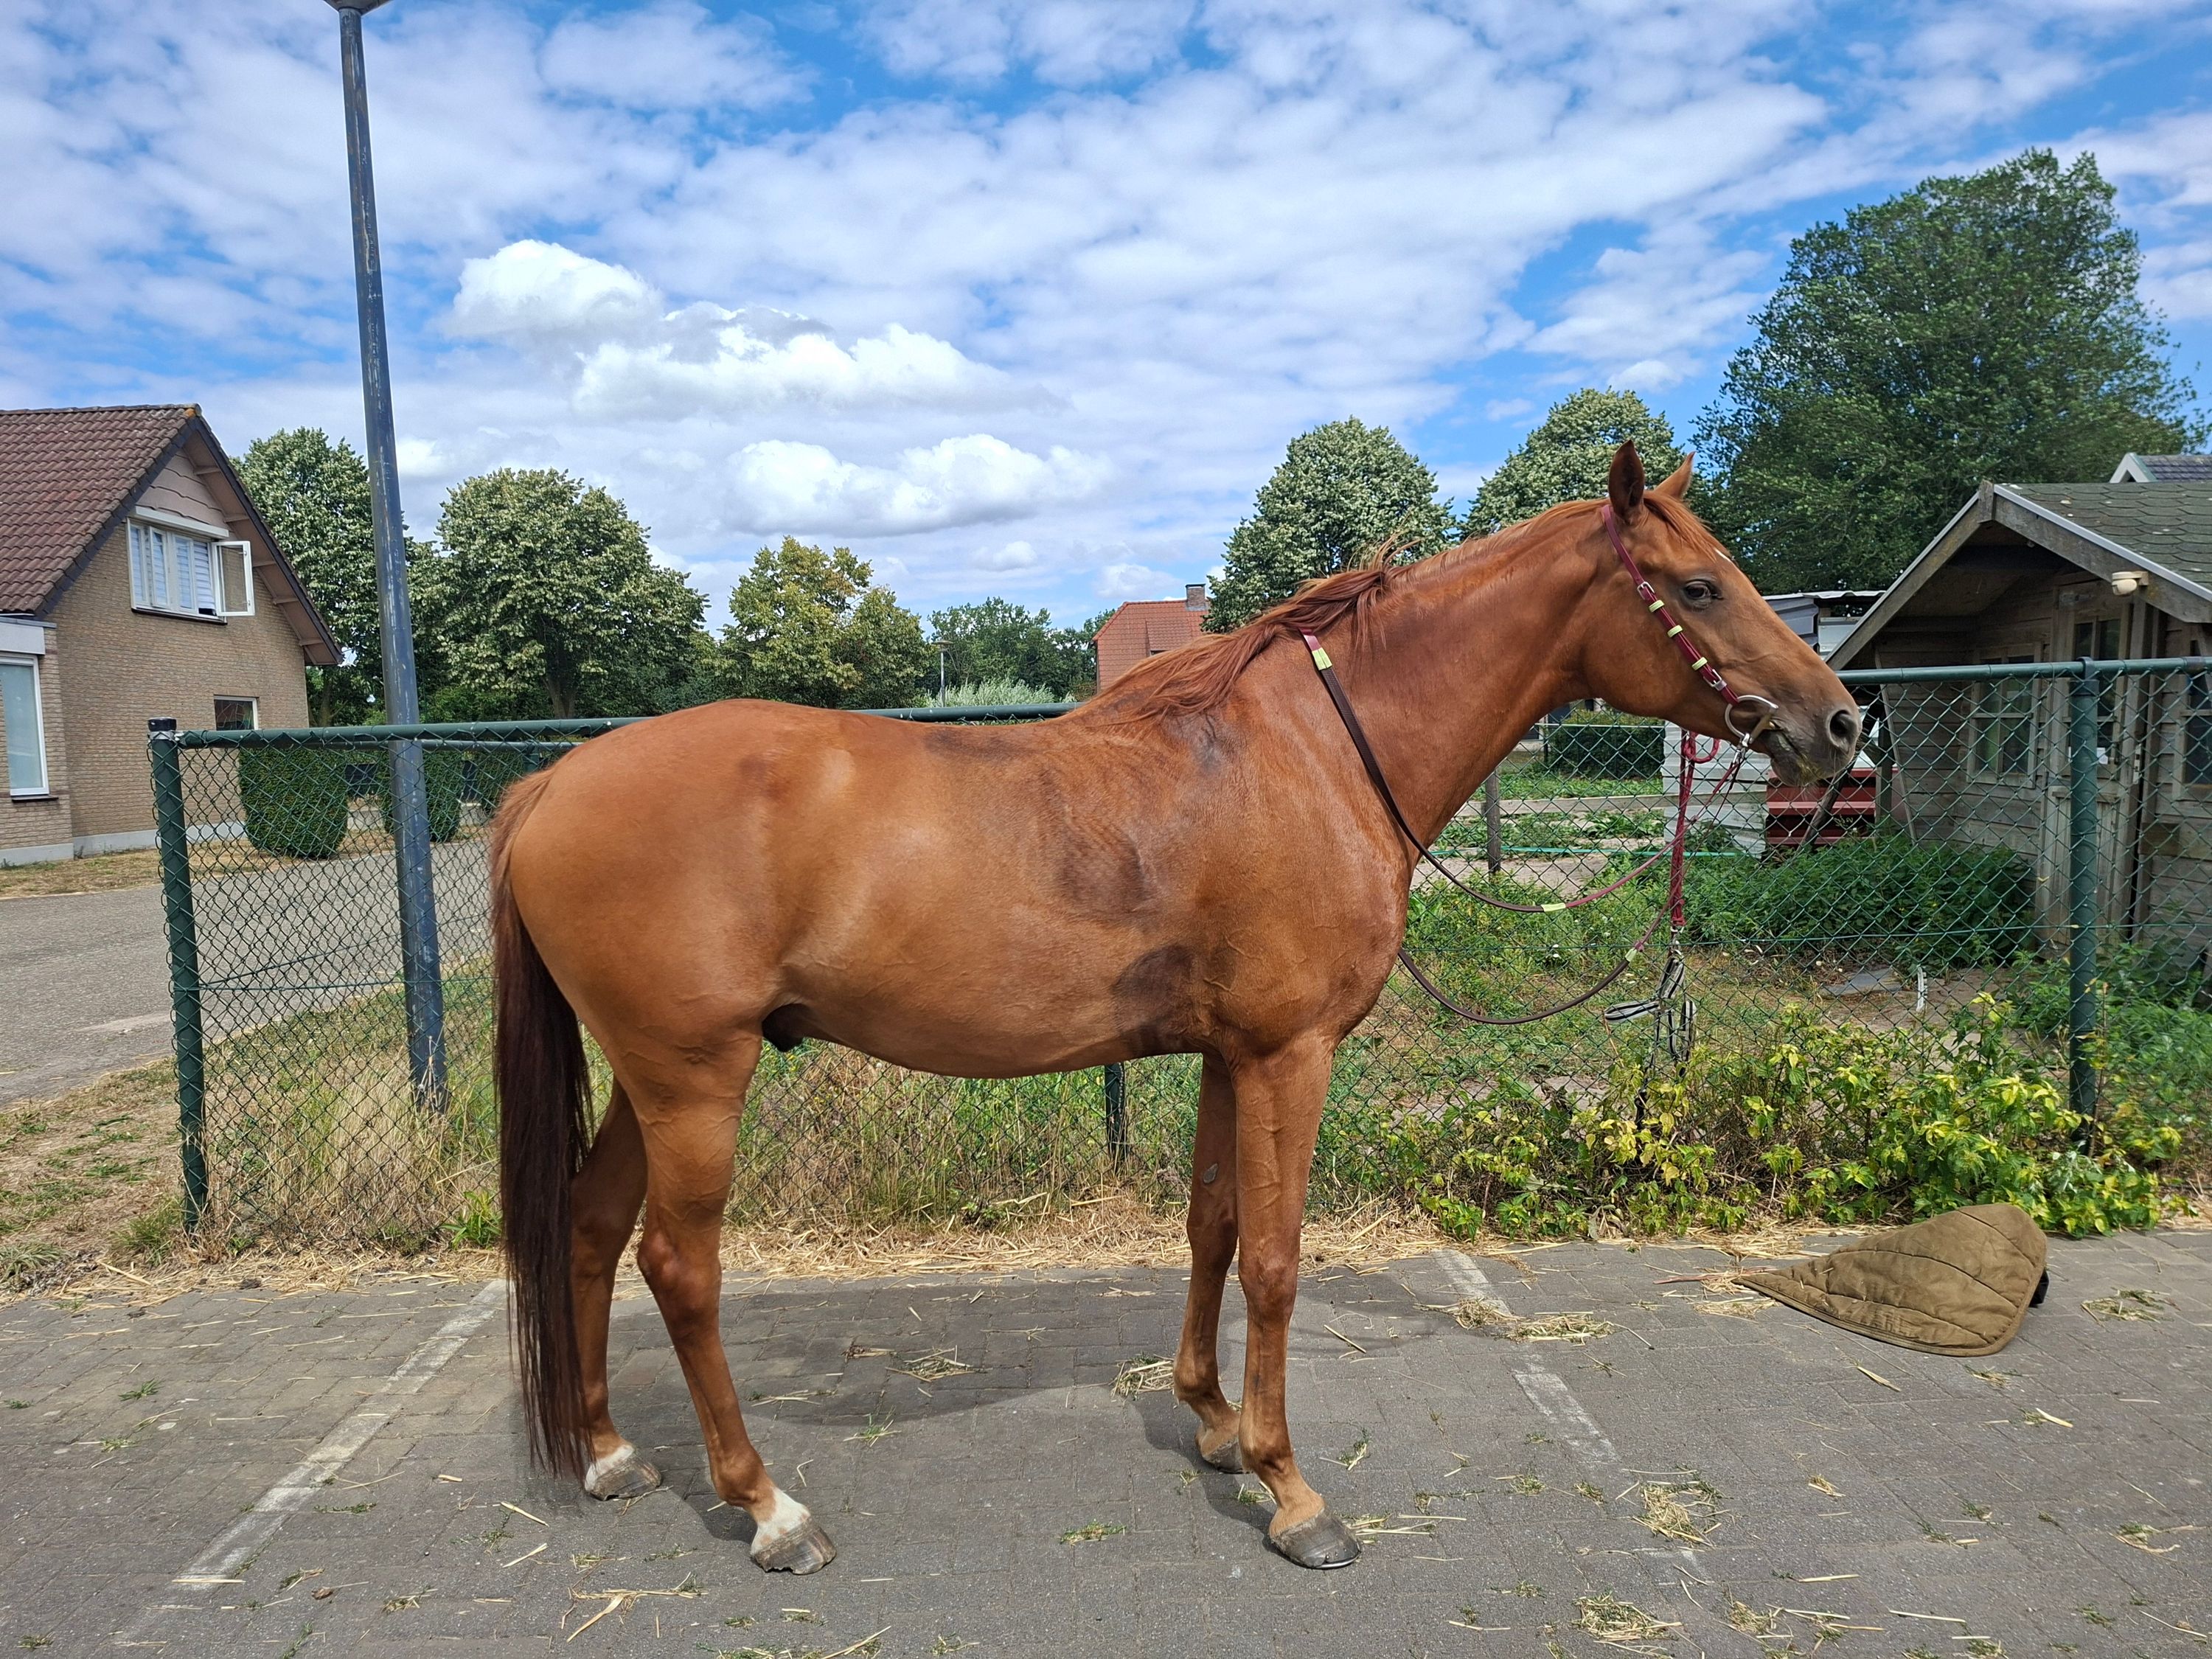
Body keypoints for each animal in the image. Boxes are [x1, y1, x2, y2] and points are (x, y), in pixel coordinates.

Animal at [491, 443, 1857, 1573]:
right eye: (1698, 587)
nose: (1837, 724)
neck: (1317, 753)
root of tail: (553, 783)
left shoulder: (1224, 1054)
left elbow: (1210, 1230)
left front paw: (1212, 1421)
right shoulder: (1291, 1055)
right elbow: (1279, 1260)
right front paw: (1294, 1491)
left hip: (651, 1082)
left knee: (589, 1227)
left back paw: (611, 1452)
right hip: (694, 1079)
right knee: (680, 1268)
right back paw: (769, 1507)